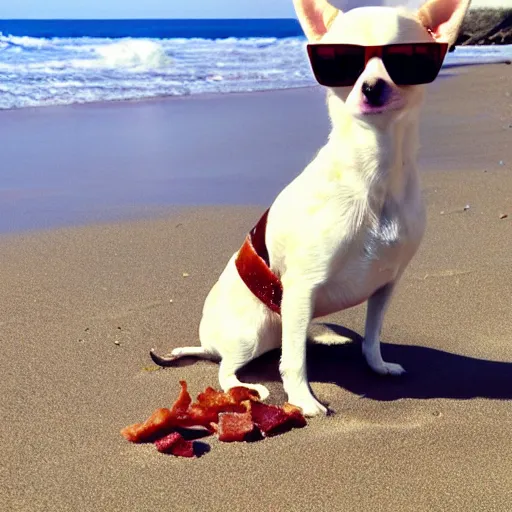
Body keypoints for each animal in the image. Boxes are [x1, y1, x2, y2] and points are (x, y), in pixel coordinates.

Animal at [152, 0, 472, 416]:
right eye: (342, 60)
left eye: (407, 57)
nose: (372, 86)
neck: (374, 170)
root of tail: (207, 342)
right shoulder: (302, 287)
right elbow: (294, 363)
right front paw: (303, 400)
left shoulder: (385, 285)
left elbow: (372, 335)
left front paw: (377, 364)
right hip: (251, 333)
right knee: (229, 368)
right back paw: (248, 386)